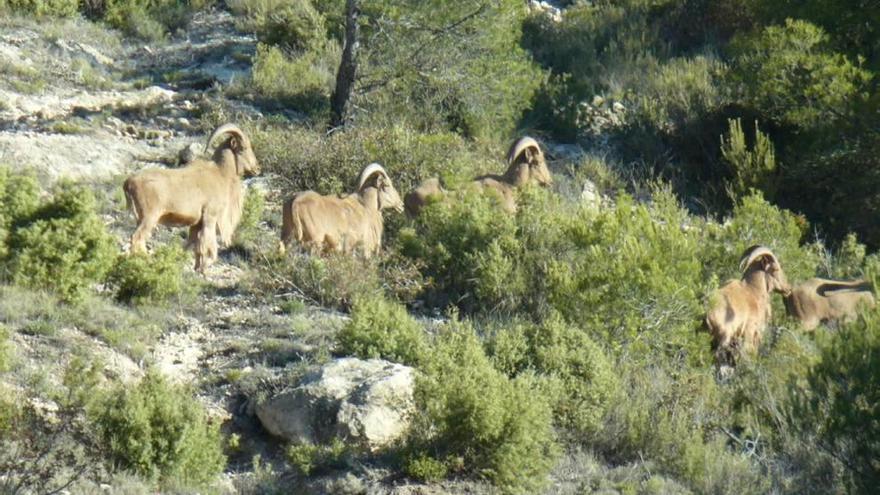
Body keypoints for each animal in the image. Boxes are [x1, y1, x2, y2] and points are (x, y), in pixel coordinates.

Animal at [124, 123, 262, 272]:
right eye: (244, 148)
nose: (257, 168)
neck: (220, 174)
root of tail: (129, 182)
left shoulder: (196, 223)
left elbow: (192, 245)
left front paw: (195, 267)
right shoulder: (210, 216)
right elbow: (209, 246)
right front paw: (204, 269)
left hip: (141, 218)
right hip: (149, 217)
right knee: (137, 239)